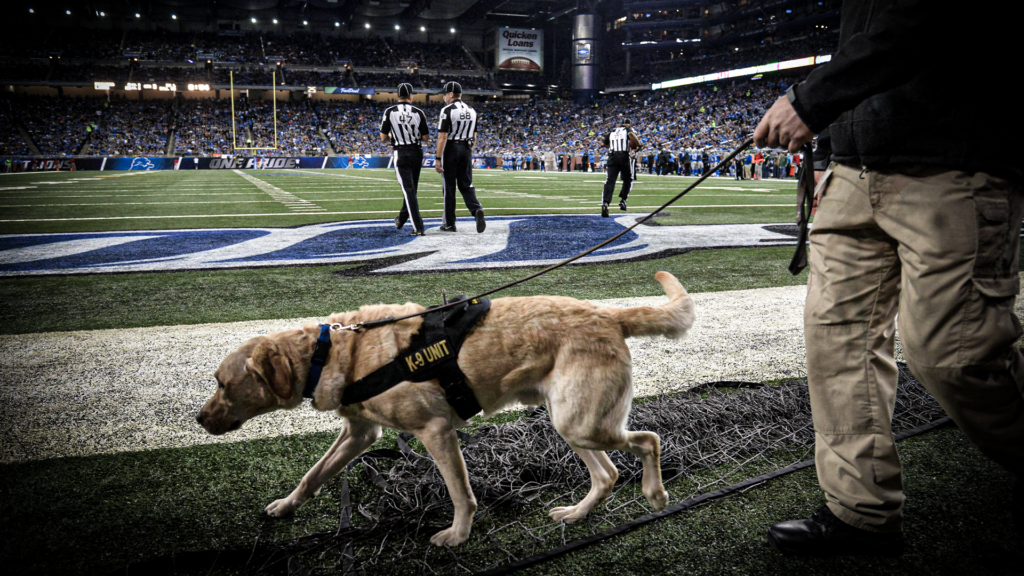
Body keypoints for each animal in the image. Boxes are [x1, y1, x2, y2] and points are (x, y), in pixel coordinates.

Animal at [197, 270, 696, 545]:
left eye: (223, 383)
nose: (199, 418)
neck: (333, 353)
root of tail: (608, 313)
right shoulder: (360, 433)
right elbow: (314, 474)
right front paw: (285, 506)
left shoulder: (435, 430)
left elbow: (461, 493)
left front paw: (457, 535)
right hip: (570, 421)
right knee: (607, 474)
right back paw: (577, 513)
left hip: (582, 422)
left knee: (649, 440)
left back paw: (655, 494)